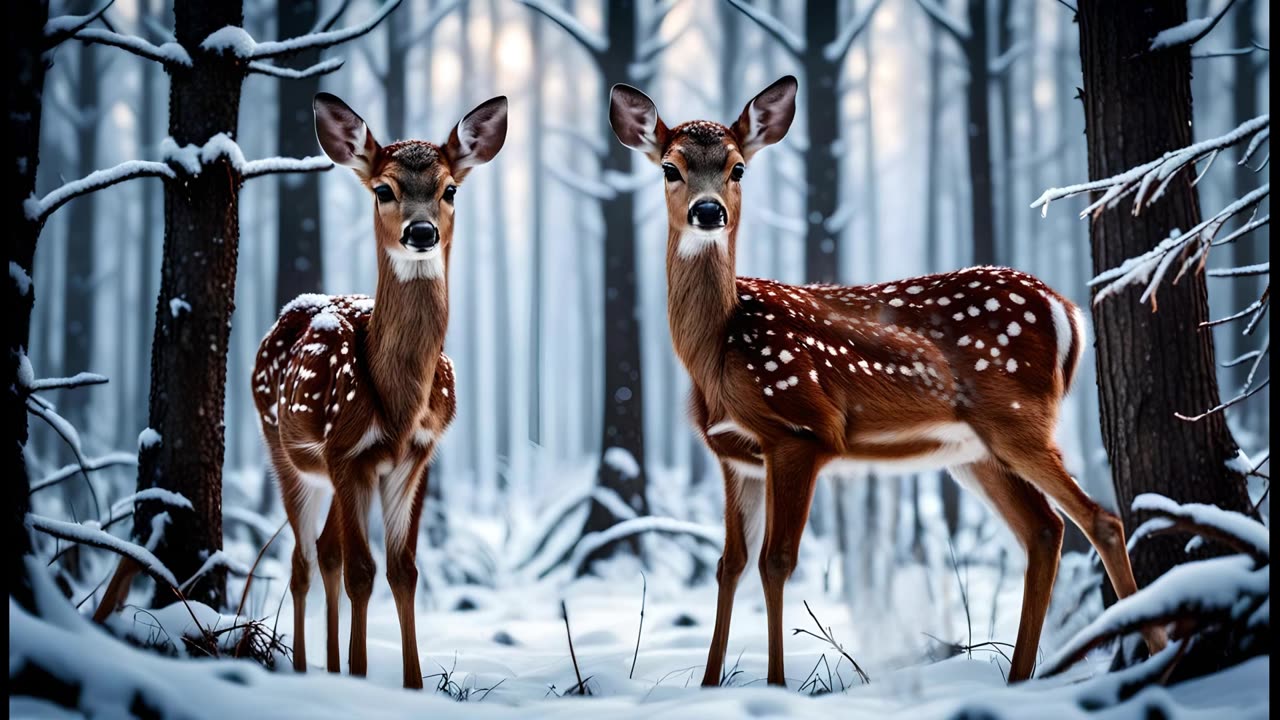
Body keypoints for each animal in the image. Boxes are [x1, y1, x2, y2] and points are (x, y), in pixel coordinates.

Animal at [252, 92, 506, 686]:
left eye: (449, 189)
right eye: (383, 190)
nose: (421, 232)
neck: (398, 405)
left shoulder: (416, 457)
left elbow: (403, 570)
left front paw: (409, 685)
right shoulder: (348, 453)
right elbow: (363, 571)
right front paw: (362, 674)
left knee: (325, 551)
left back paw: (327, 664)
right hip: (284, 451)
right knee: (304, 561)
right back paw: (306, 668)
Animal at [609, 75, 1172, 686]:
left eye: (738, 168)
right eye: (671, 167)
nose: (708, 211)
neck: (718, 353)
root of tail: (1067, 311)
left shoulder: (802, 430)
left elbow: (776, 562)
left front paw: (778, 685)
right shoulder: (734, 455)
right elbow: (728, 564)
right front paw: (710, 686)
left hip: (1018, 417)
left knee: (1101, 519)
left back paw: (1158, 659)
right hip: (975, 450)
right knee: (1044, 531)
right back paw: (1022, 677)